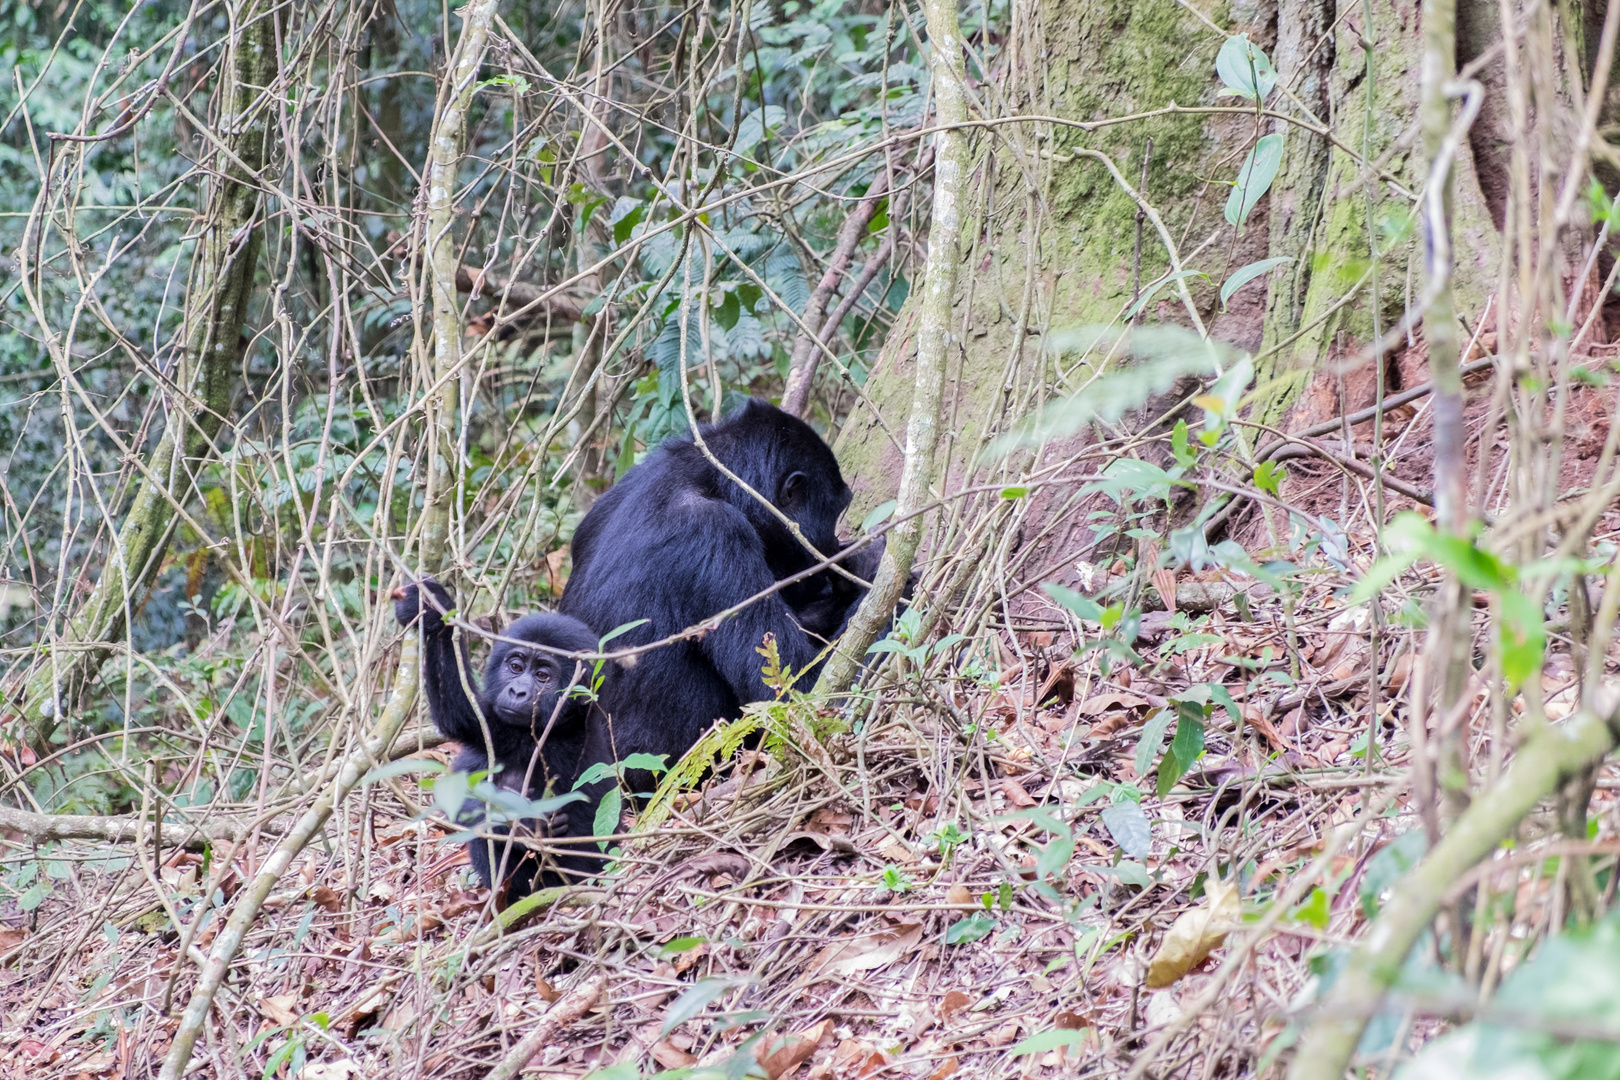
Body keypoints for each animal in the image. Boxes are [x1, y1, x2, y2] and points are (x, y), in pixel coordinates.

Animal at [392, 579, 602, 900]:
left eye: (543, 675)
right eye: (515, 667)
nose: (517, 691)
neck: (565, 724)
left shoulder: (539, 743)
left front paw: (528, 825)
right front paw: (432, 610)